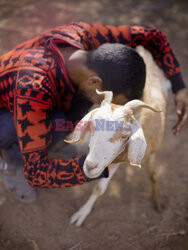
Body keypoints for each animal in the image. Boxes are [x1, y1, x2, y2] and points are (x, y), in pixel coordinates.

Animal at [62, 45, 171, 227]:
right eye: (92, 126)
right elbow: (100, 188)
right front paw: (81, 214)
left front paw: (157, 200)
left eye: (125, 134)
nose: (90, 166)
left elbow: (153, 175)